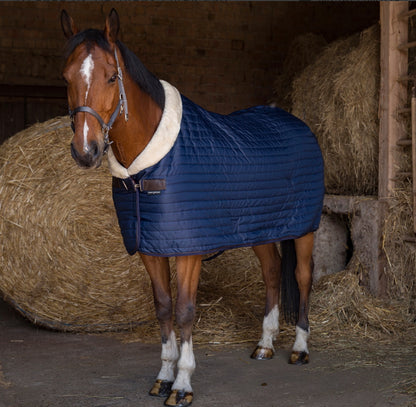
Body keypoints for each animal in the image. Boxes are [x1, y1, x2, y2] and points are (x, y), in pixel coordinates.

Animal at [60, 9, 324, 407]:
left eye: (111, 76)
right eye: (67, 77)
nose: (85, 150)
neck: (149, 167)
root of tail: (297, 123)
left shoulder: (188, 251)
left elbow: (185, 312)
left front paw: (182, 384)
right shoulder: (151, 248)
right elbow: (163, 307)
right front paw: (163, 376)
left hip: (304, 228)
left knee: (302, 276)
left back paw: (300, 348)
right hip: (260, 229)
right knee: (272, 273)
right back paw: (264, 344)